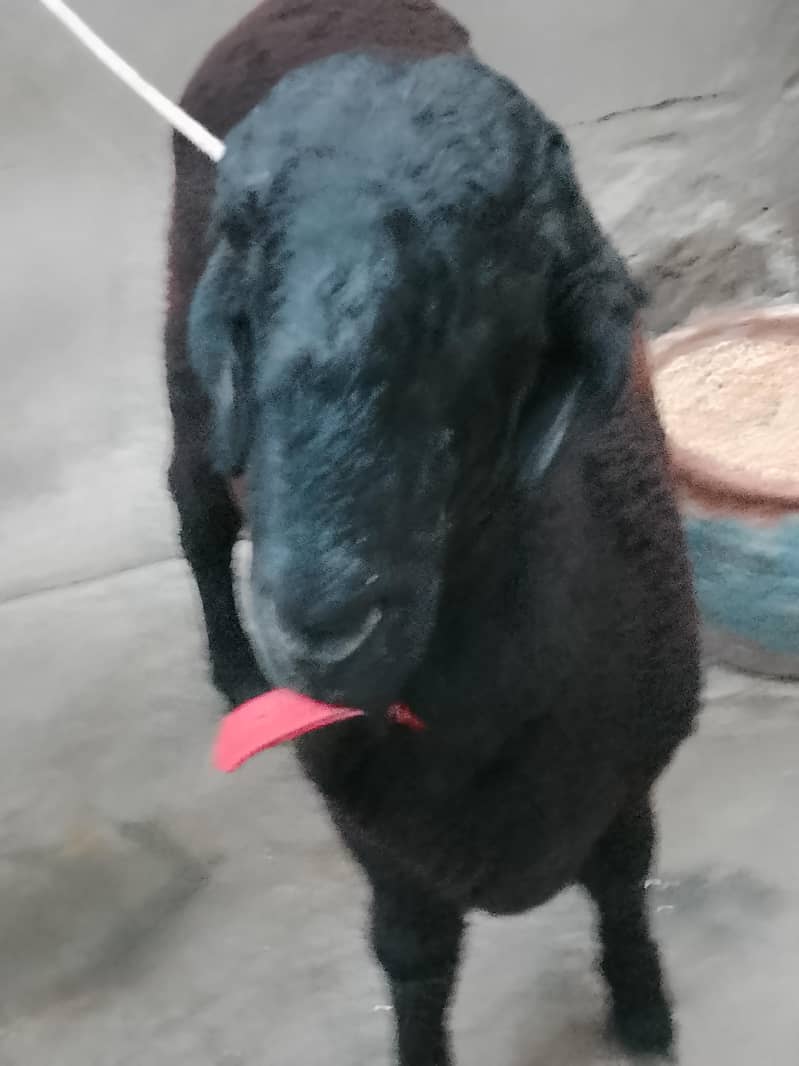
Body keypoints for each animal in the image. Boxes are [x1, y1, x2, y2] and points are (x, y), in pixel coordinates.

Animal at [165, 2, 702, 1063]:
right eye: (241, 238)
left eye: (508, 251)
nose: (324, 623)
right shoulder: (380, 844)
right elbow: (412, 960)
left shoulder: (630, 773)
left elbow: (623, 881)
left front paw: (642, 1011)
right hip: (188, 385)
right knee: (196, 516)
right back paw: (233, 666)